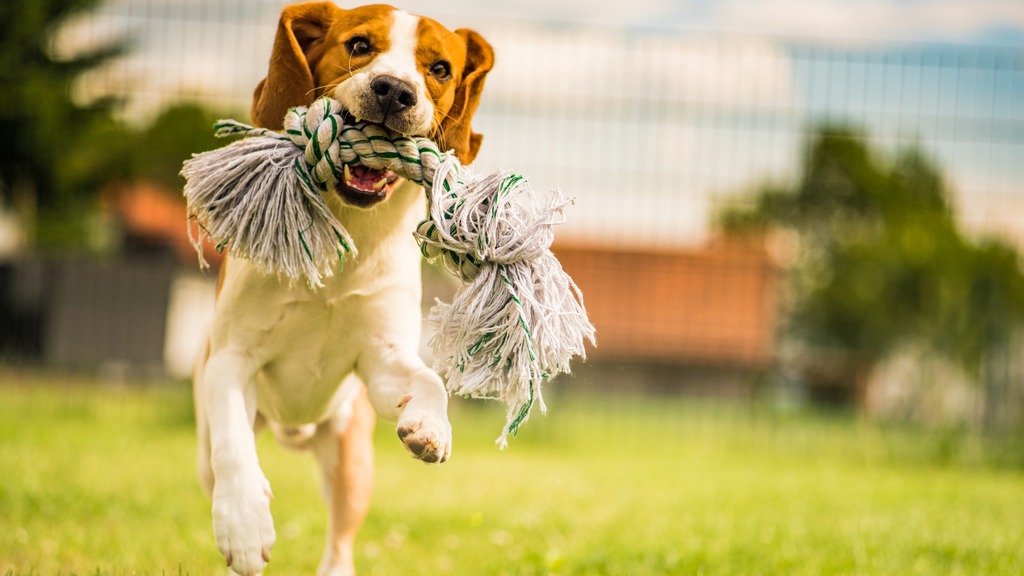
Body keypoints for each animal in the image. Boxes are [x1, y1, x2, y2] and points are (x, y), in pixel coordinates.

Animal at [192, 5, 495, 573]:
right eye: (358, 45)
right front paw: (243, 522)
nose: (394, 90)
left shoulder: (379, 361)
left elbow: (430, 379)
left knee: (339, 541)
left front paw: (431, 426)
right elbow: (233, 446)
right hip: (211, 448)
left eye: (440, 69)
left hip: (351, 459)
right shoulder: (232, 357)